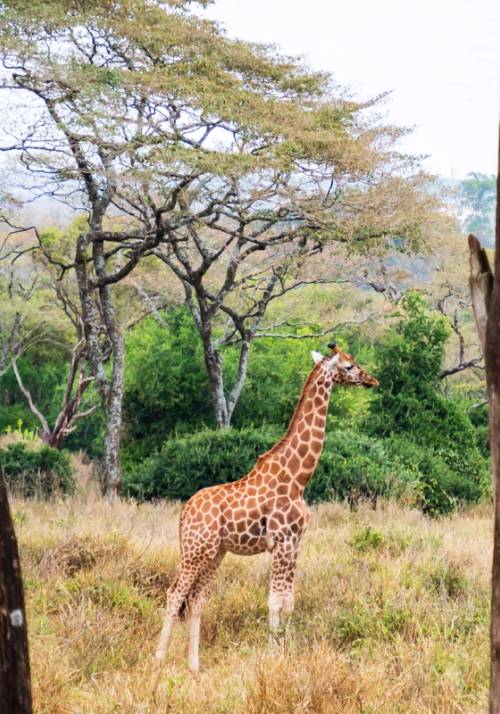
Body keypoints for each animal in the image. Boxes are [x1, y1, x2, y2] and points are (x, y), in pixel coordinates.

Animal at [151, 342, 378, 681]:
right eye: (349, 366)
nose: (372, 380)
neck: (298, 477)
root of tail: (184, 512)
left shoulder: (296, 543)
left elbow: (289, 601)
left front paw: (287, 652)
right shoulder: (282, 541)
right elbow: (274, 601)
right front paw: (273, 656)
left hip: (215, 552)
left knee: (198, 599)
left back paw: (194, 666)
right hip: (194, 550)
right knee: (174, 593)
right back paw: (159, 659)